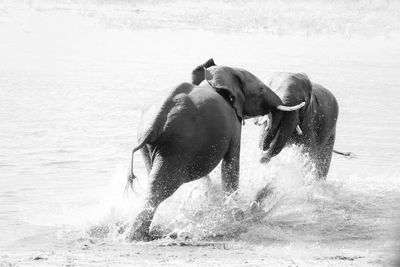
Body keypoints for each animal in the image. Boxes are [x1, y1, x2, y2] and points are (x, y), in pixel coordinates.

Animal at [125, 62, 304, 241]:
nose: (263, 158)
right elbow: (231, 163)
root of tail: (155, 123)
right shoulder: (234, 122)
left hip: (153, 148)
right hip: (176, 146)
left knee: (154, 181)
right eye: (261, 89)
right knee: (160, 188)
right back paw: (137, 236)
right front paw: (235, 215)